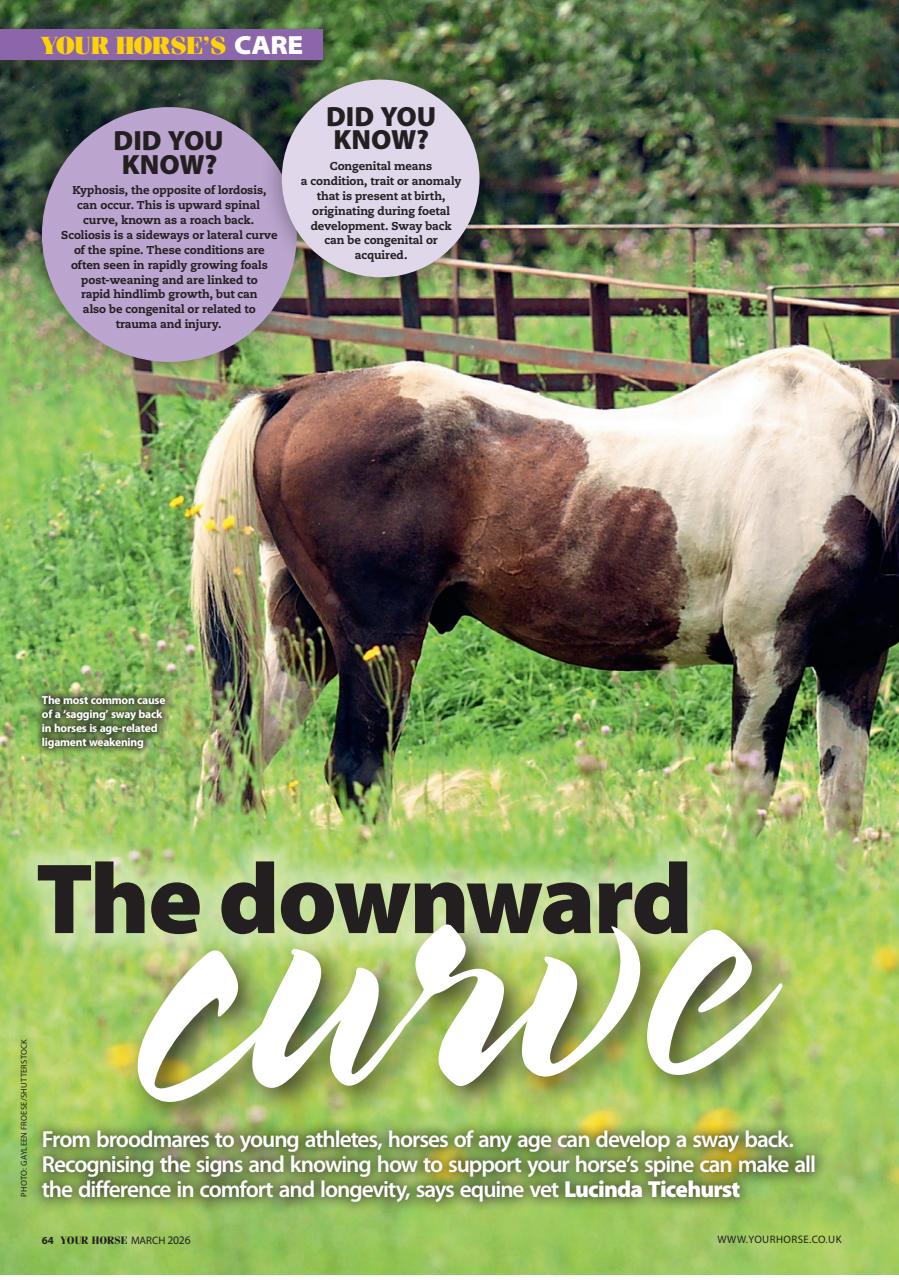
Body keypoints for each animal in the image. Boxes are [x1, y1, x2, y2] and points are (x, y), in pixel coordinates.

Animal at [190, 345, 899, 832]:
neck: (849, 469)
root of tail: (300, 395)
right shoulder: (766, 655)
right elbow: (752, 789)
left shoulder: (853, 662)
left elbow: (843, 797)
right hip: (380, 644)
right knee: (355, 772)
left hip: (306, 646)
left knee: (234, 758)